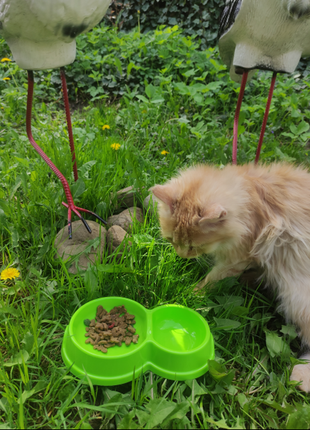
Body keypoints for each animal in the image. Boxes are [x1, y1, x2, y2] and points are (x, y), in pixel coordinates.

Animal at [152, 163, 310, 392]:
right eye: (172, 240)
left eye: (194, 246)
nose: (182, 255)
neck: (249, 199)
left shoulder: (237, 257)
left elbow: (211, 280)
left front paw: (192, 293)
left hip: (298, 299)